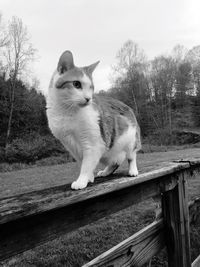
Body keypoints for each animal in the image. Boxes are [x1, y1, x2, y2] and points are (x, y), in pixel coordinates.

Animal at [46, 50, 141, 191]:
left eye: (91, 87)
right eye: (76, 84)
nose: (88, 98)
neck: (66, 110)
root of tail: (128, 107)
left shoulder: (93, 144)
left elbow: (86, 165)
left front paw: (81, 181)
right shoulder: (71, 145)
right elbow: (83, 162)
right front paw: (89, 178)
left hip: (131, 141)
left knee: (131, 157)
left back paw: (133, 170)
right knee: (115, 162)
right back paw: (106, 171)